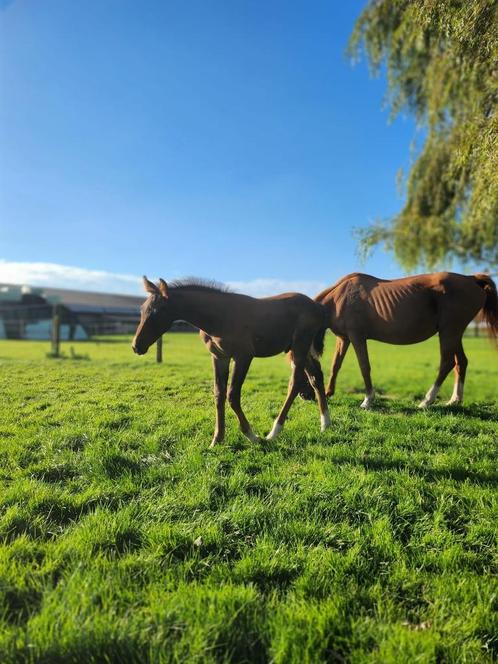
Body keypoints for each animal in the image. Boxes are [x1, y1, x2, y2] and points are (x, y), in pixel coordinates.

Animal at [131, 274, 330, 446]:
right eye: (141, 310)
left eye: (158, 311)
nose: (136, 346)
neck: (219, 317)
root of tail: (317, 306)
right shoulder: (219, 357)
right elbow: (219, 394)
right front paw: (217, 439)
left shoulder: (243, 356)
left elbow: (232, 395)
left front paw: (252, 435)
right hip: (302, 349)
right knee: (316, 377)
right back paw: (325, 423)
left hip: (300, 346)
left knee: (295, 383)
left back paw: (274, 432)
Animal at [304, 272, 498, 408]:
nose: (305, 396)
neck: (340, 298)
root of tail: (471, 279)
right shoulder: (344, 338)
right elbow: (335, 365)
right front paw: (329, 392)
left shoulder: (357, 336)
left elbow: (364, 367)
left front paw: (368, 400)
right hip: (454, 334)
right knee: (461, 362)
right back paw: (454, 400)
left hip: (449, 332)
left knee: (447, 363)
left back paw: (426, 401)